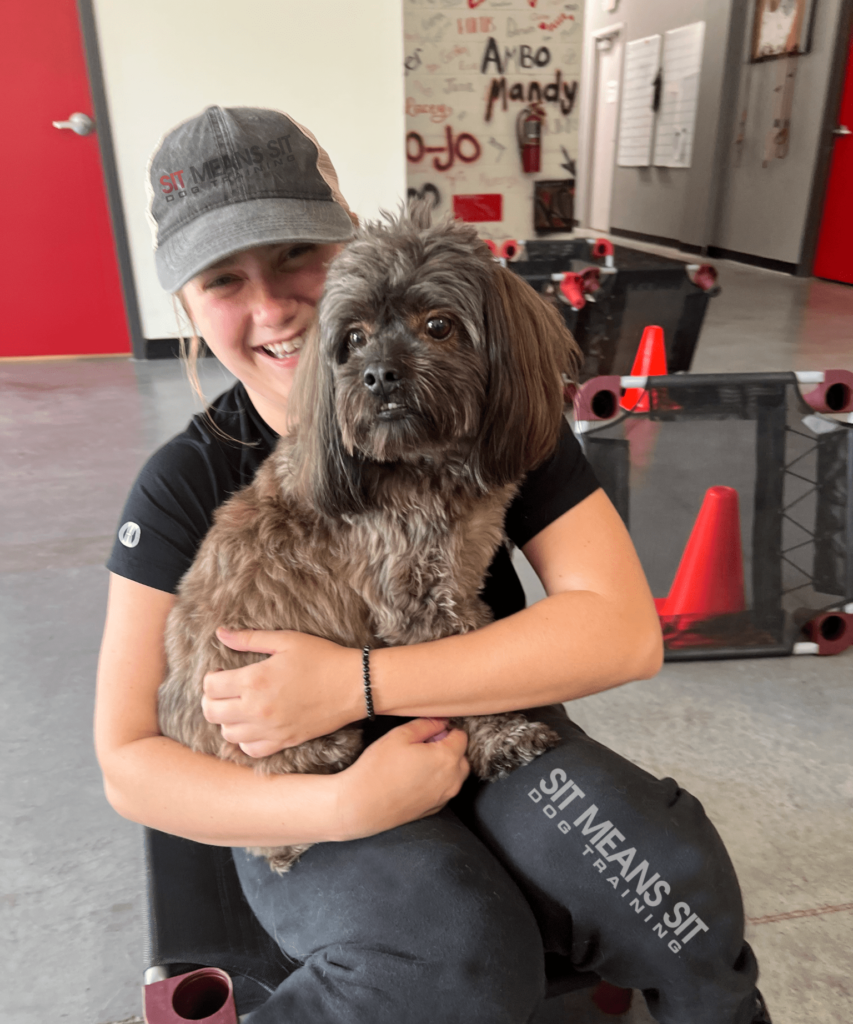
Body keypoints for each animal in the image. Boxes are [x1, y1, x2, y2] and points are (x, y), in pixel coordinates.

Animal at [158, 206, 582, 873]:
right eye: (353, 339)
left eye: (438, 325)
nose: (378, 375)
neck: (424, 464)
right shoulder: (414, 599)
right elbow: (462, 682)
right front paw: (502, 738)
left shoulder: (456, 580)